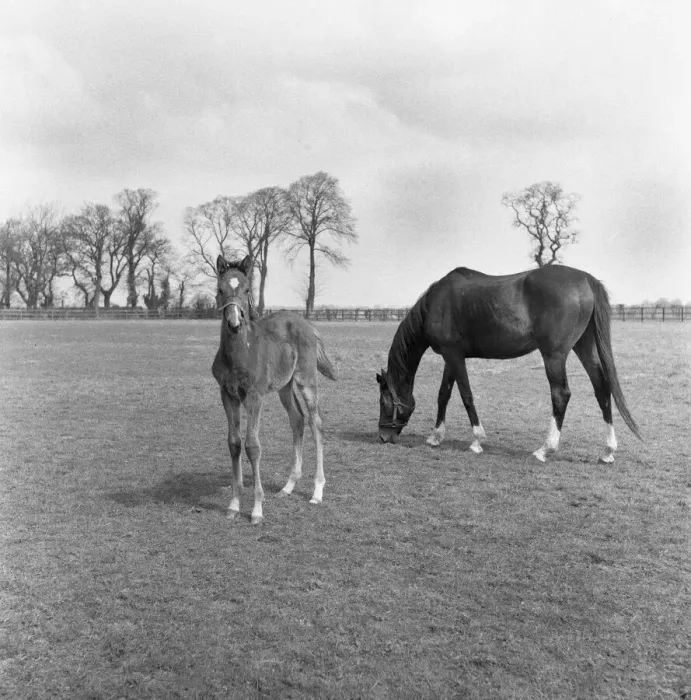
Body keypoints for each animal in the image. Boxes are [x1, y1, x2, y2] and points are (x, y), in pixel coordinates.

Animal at [212, 255, 336, 524]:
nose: (234, 323)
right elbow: (234, 443)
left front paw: (257, 509)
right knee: (297, 419)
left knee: (316, 423)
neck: (239, 353)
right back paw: (288, 487)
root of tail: (307, 324)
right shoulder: (227, 395)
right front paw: (234, 504)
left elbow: (253, 446)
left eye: (247, 290)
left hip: (306, 379)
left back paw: (317, 491)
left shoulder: (254, 396)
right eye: (220, 289)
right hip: (285, 387)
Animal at [376, 264, 641, 463]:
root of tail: (585, 279)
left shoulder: (453, 356)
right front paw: (435, 437)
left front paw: (476, 441)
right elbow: (444, 394)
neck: (436, 304)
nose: (383, 437)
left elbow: (466, 395)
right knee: (602, 389)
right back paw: (607, 452)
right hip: (584, 347)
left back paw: (545, 450)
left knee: (561, 395)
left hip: (554, 355)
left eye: (384, 402)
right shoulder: (452, 358)